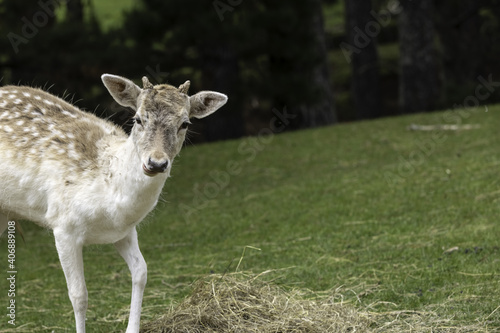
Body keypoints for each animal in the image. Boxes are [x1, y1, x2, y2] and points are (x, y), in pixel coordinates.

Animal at [0, 75, 228, 332]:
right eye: (138, 118)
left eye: (185, 123)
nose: (156, 163)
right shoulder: (63, 225)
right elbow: (78, 295)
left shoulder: (125, 231)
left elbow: (141, 272)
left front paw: (132, 328)